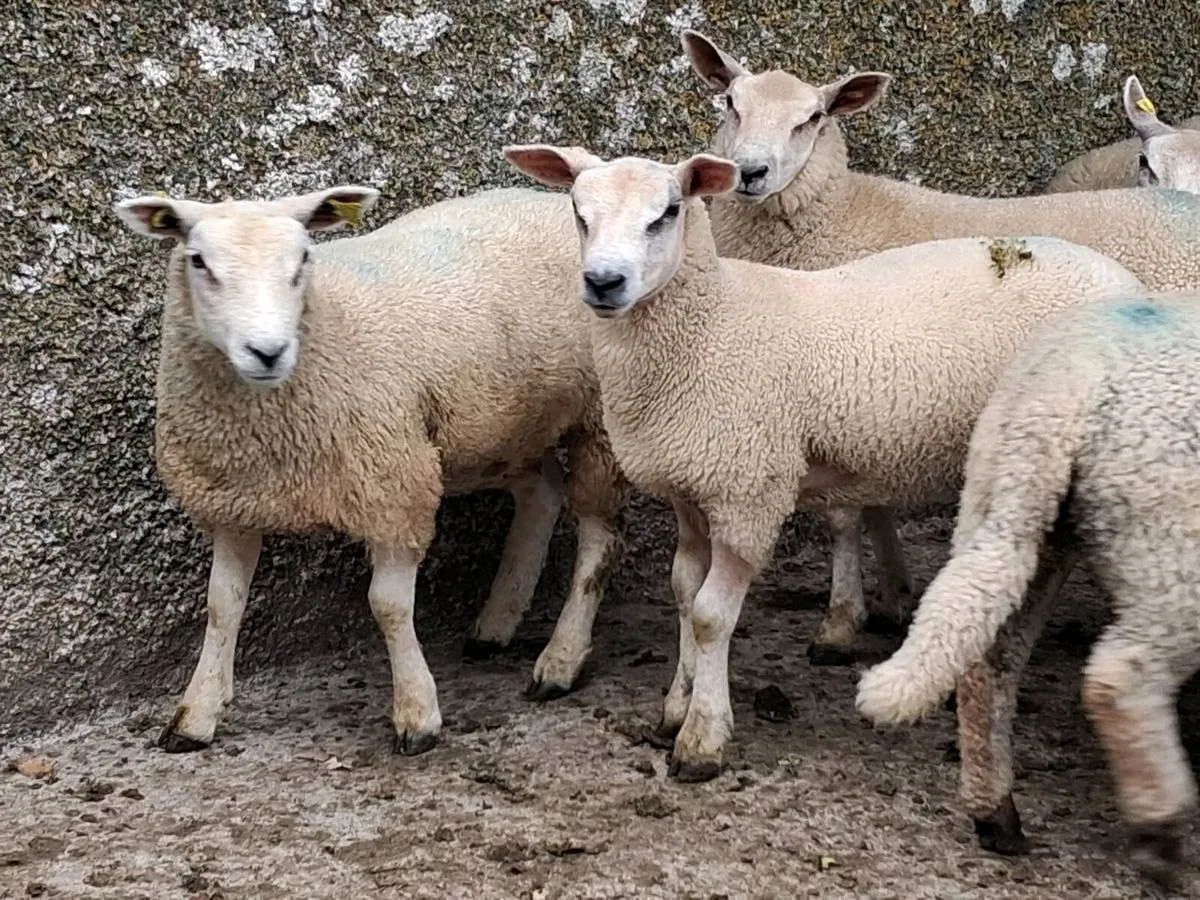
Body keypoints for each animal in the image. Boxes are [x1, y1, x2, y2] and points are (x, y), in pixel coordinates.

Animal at [112, 184, 626, 755]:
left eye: (303, 259)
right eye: (198, 260)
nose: (267, 352)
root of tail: (557, 202)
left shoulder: (394, 487)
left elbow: (387, 605)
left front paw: (417, 713)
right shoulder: (236, 501)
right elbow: (222, 604)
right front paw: (196, 714)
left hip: (598, 414)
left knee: (599, 536)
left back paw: (560, 659)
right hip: (498, 425)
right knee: (541, 493)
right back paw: (496, 623)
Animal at [503, 141, 1145, 782]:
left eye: (667, 212)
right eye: (579, 214)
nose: (603, 282)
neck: (713, 326)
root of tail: (1124, 280)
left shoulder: (747, 490)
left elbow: (710, 615)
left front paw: (703, 737)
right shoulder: (692, 486)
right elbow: (684, 592)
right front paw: (675, 708)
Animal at [856, 291, 1200, 883]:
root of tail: (1066, 386)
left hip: (1006, 501)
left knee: (984, 659)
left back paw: (996, 815)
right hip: (1170, 548)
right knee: (1120, 677)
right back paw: (1162, 833)